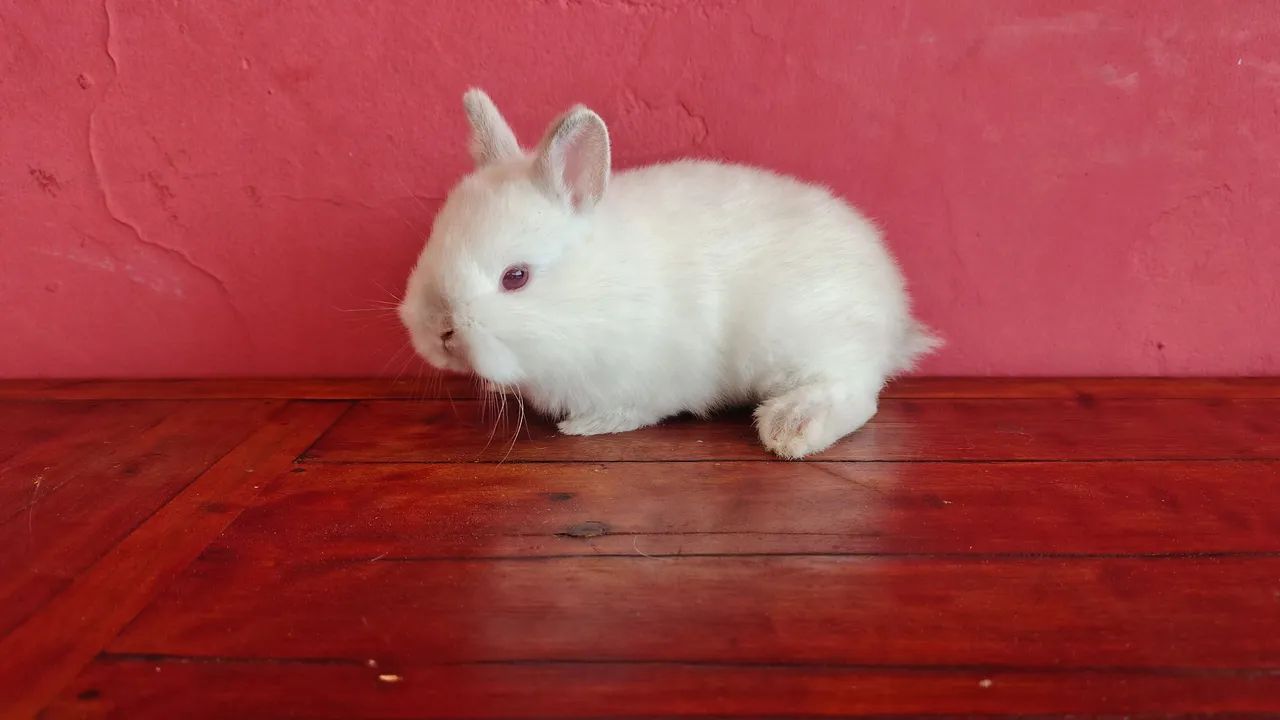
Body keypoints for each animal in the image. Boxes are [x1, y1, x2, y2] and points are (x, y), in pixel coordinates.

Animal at [398, 88, 938, 459]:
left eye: (516, 277)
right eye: (432, 245)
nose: (439, 330)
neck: (594, 292)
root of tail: (894, 305)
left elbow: (632, 409)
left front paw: (586, 426)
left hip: (809, 335)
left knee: (855, 391)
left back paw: (791, 427)